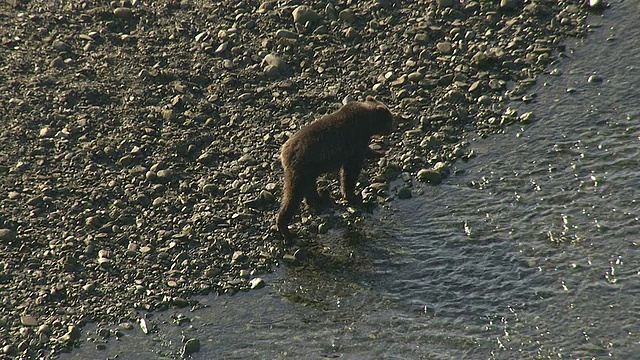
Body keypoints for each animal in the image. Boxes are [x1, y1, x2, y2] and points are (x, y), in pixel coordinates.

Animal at [276, 96, 392, 239]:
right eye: (390, 119)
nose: (392, 128)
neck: (367, 122)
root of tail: (283, 153)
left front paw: (379, 152)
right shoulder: (355, 140)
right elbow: (351, 170)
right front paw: (353, 195)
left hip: (308, 170)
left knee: (308, 188)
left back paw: (320, 199)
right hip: (302, 167)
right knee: (294, 193)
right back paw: (286, 229)